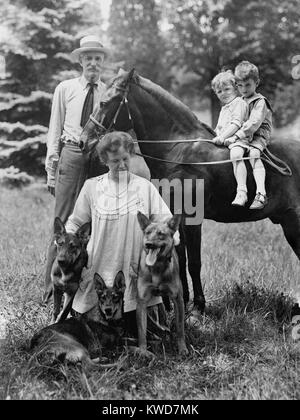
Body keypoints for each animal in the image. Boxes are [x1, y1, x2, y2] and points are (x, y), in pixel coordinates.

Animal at [81, 69, 300, 312]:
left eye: (105, 102)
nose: (83, 140)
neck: (179, 149)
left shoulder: (193, 219)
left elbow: (194, 262)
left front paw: (198, 307)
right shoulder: (174, 217)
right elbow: (180, 258)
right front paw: (181, 301)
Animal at [136, 213, 188, 358]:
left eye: (161, 234)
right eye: (147, 233)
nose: (148, 244)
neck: (157, 267)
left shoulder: (178, 299)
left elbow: (180, 328)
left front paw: (182, 348)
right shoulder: (141, 302)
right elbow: (141, 331)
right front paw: (143, 351)